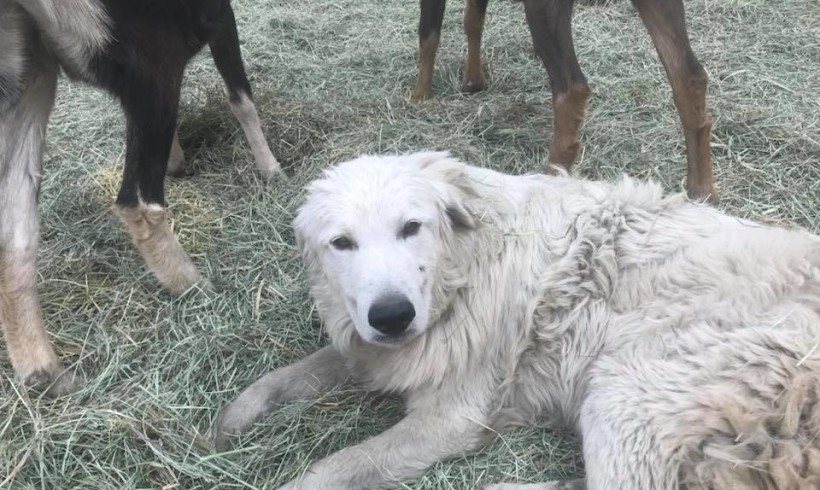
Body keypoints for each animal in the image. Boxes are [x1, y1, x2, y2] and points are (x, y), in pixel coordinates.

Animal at [216, 151, 820, 488]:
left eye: (411, 227)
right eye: (341, 243)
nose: (392, 315)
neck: (463, 271)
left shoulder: (451, 419)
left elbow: (330, 470)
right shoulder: (376, 347)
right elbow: (294, 373)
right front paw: (231, 420)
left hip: (625, 391)